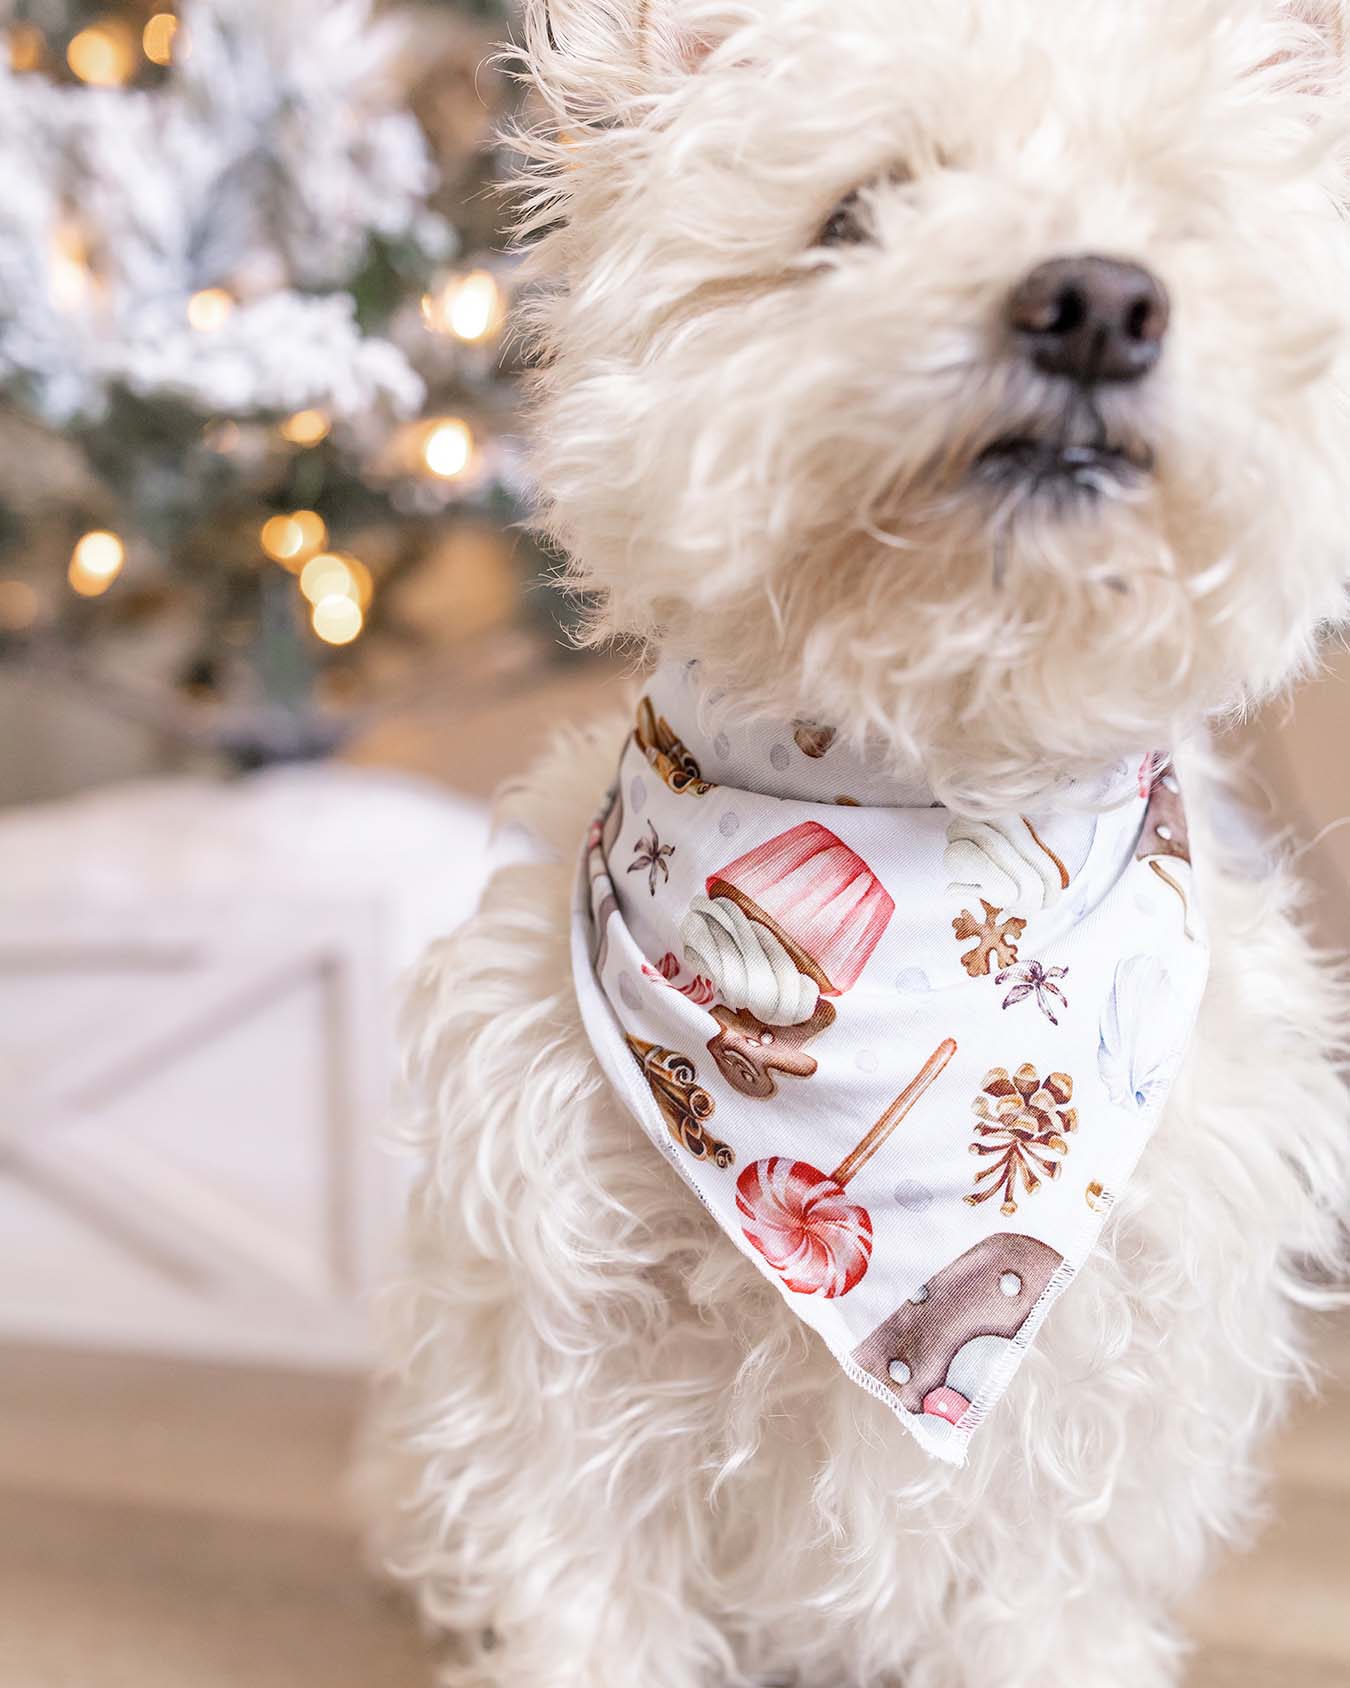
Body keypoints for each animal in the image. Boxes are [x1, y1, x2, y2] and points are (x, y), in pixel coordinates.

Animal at [364, 6, 1350, 1681]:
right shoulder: (565, 1361)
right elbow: (590, 1593)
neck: (928, 788)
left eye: (1178, 219)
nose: (1095, 304)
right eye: (856, 212)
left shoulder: (1095, 1406)